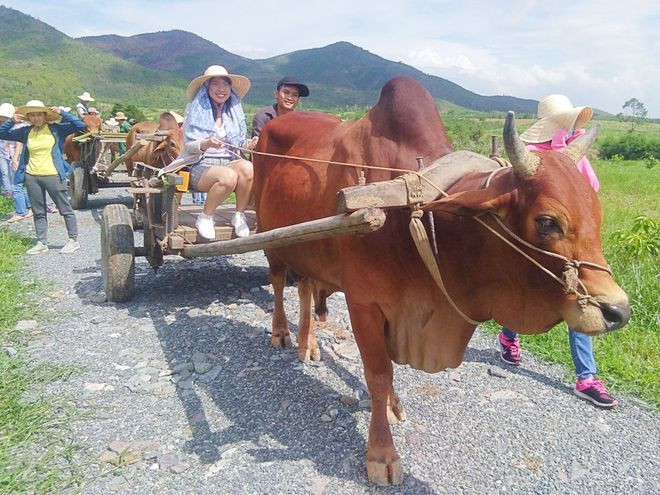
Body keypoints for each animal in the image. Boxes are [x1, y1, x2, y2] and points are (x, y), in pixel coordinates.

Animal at [253, 76, 628, 484]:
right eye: (548, 221)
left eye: (597, 213)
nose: (617, 311)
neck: (412, 214)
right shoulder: (364, 303)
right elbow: (379, 374)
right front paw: (382, 454)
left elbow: (387, 378)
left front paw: (392, 407)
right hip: (270, 236)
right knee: (278, 282)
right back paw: (281, 333)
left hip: (305, 246)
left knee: (306, 287)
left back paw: (308, 344)